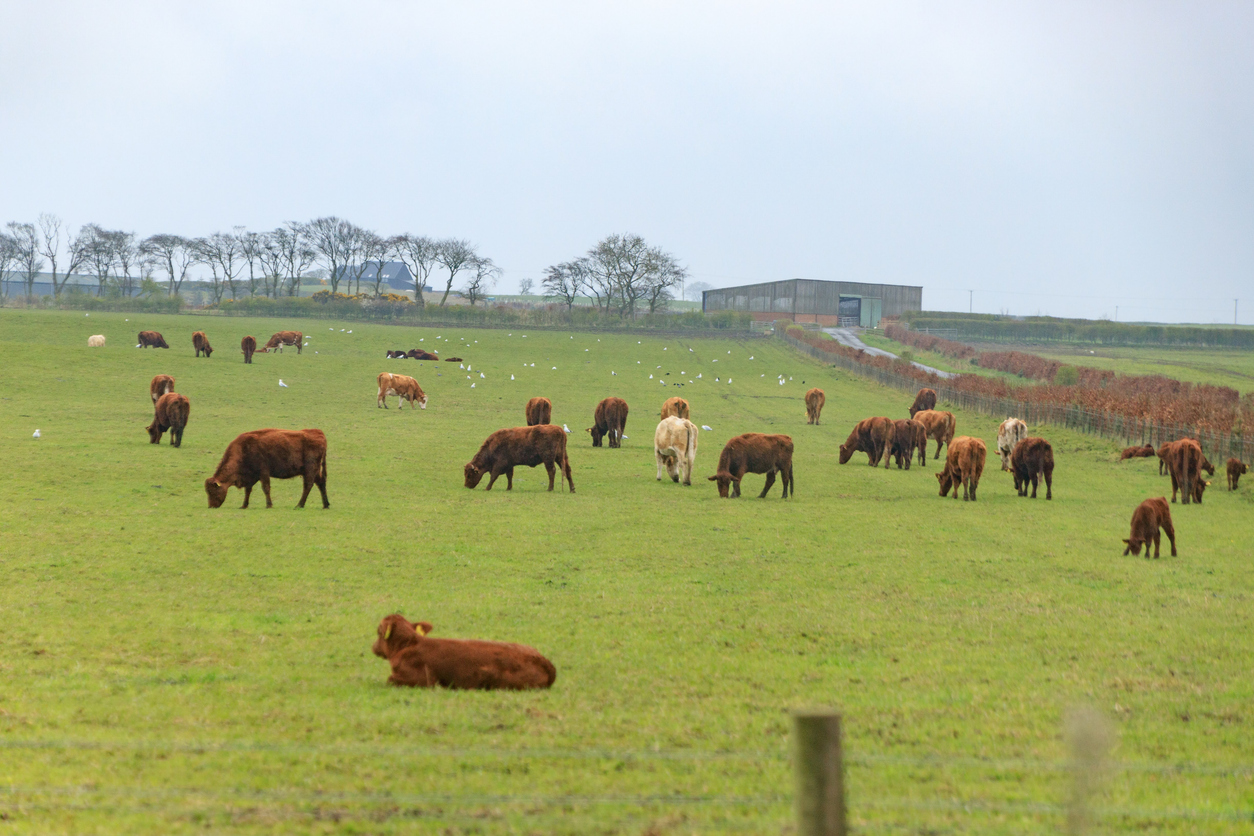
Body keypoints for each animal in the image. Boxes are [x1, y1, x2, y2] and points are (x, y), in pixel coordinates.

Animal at [372, 615, 556, 690]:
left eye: (378, 630)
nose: (373, 646)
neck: (408, 645)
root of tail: (545, 661)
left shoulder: (422, 680)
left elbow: (389, 680)